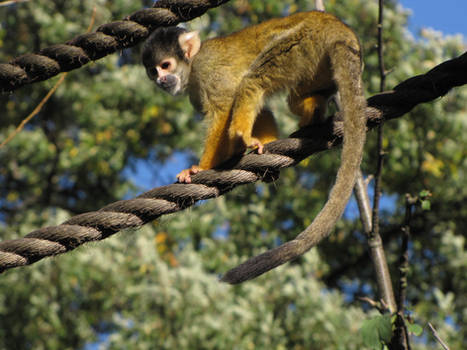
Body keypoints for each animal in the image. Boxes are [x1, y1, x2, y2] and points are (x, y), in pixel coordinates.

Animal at [141, 11, 368, 284]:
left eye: (165, 65)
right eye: (153, 71)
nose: (161, 80)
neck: (192, 67)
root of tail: (338, 28)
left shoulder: (207, 70)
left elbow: (224, 109)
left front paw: (200, 169)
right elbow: (261, 112)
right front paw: (265, 148)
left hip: (301, 43)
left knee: (253, 79)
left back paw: (243, 131)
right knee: (292, 97)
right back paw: (311, 114)